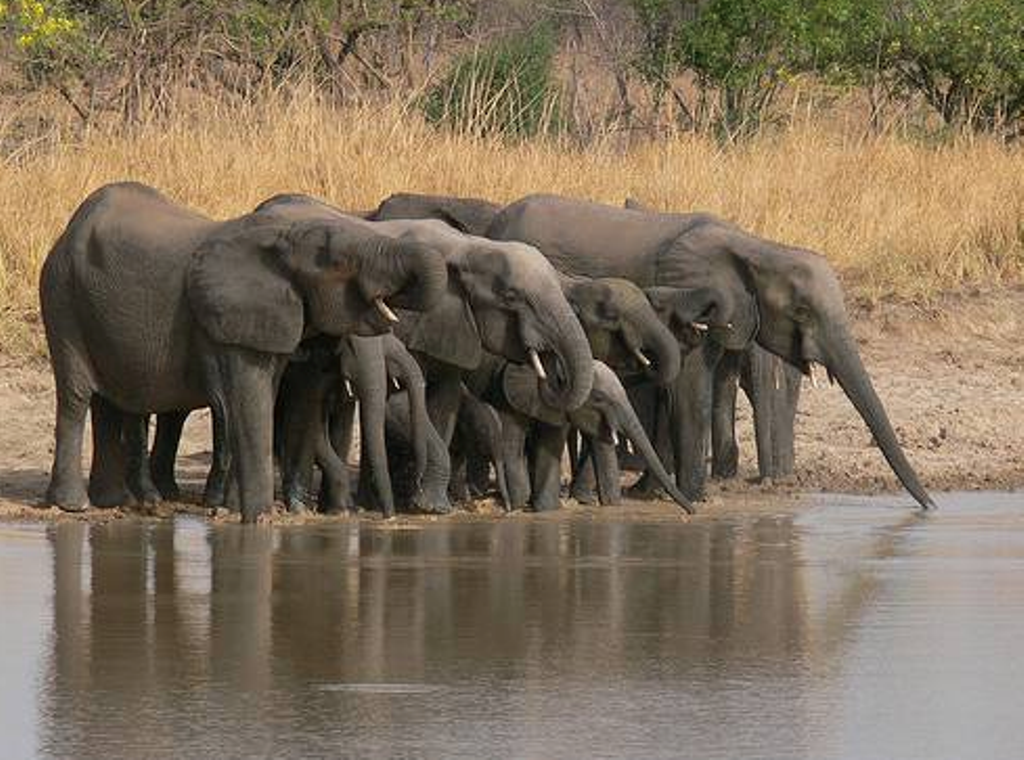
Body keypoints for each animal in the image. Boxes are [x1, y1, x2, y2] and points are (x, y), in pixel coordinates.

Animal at [39, 183, 448, 524]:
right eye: (338, 261)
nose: (390, 518)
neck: (280, 235)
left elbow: (262, 399)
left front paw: (241, 513)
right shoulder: (226, 322)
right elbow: (245, 402)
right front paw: (257, 521)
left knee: (108, 402)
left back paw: (114, 502)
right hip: (61, 297)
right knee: (77, 395)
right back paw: (75, 505)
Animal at [464, 356, 696, 512]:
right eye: (599, 398)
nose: (691, 512)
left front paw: (607, 506)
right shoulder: (508, 393)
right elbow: (512, 444)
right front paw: (524, 506)